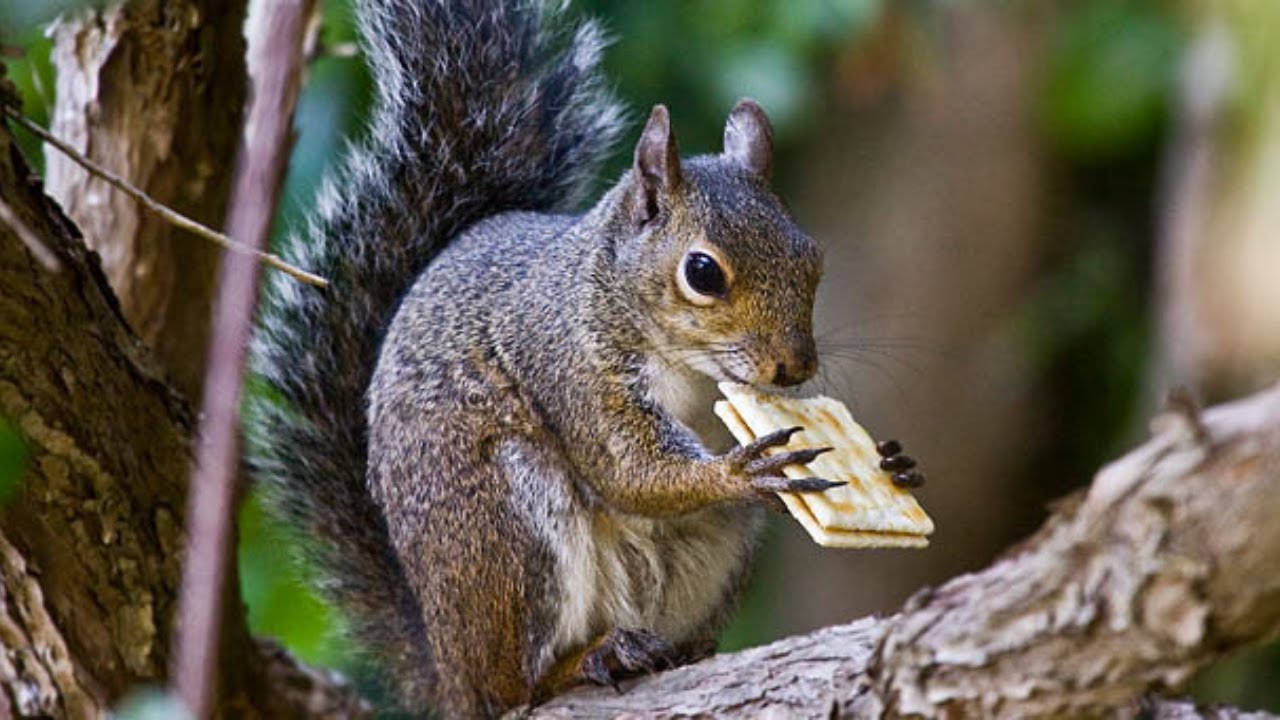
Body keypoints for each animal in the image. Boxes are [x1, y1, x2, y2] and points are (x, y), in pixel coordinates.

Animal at [248, 0, 858, 716]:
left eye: (811, 257)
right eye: (703, 272)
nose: (793, 367)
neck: (692, 370)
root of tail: (448, 669)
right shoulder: (568, 363)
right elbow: (631, 471)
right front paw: (739, 472)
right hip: (510, 526)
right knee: (513, 685)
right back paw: (586, 660)